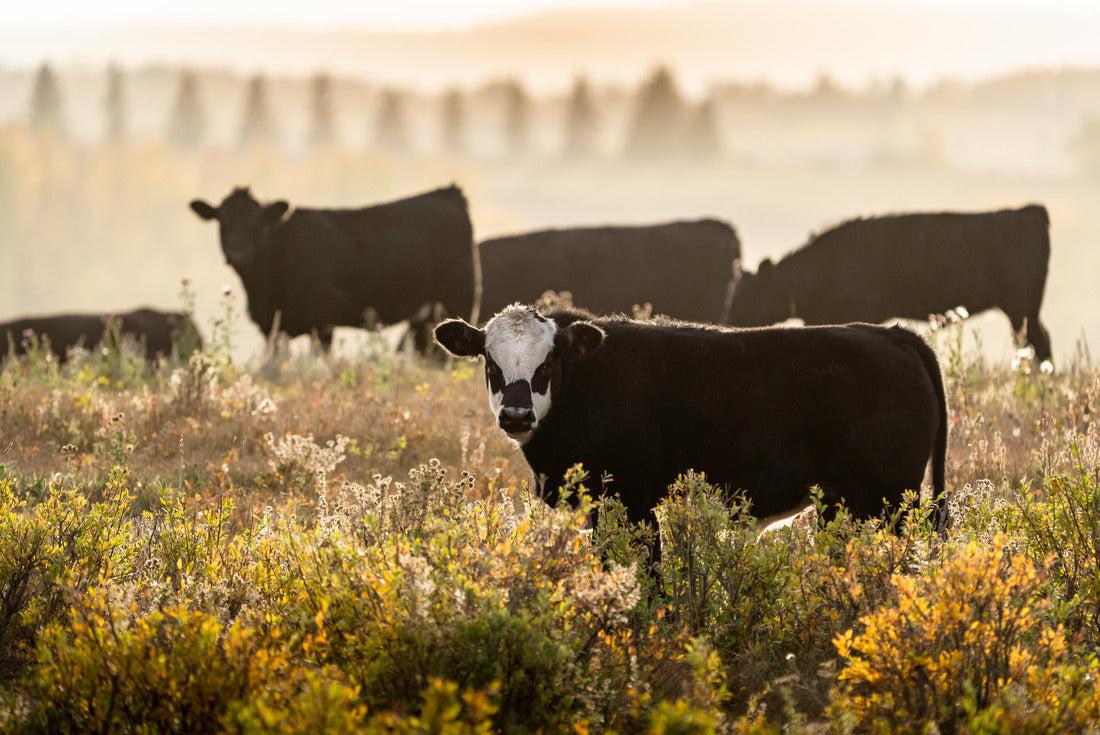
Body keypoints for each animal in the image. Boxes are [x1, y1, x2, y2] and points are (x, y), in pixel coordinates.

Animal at [189, 185, 476, 349]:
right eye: (222, 223)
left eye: (257, 224)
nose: (239, 254)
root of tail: (448, 192)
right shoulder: (271, 327)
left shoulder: (324, 317)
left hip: (459, 298)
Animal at [435, 304, 948, 543]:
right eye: (491, 363)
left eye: (546, 365)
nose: (516, 414)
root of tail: (890, 334)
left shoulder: (630, 501)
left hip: (885, 499)